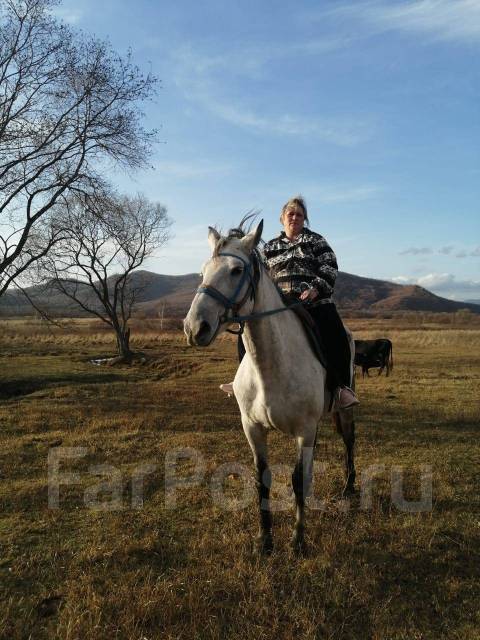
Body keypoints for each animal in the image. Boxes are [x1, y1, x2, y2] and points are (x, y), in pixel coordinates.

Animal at [184, 220, 356, 556]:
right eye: (203, 271)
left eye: (236, 270)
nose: (195, 328)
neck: (271, 367)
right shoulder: (253, 428)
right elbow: (262, 480)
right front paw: (265, 541)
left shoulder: (304, 428)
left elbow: (297, 480)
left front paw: (298, 542)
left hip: (342, 411)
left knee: (349, 442)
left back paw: (348, 487)